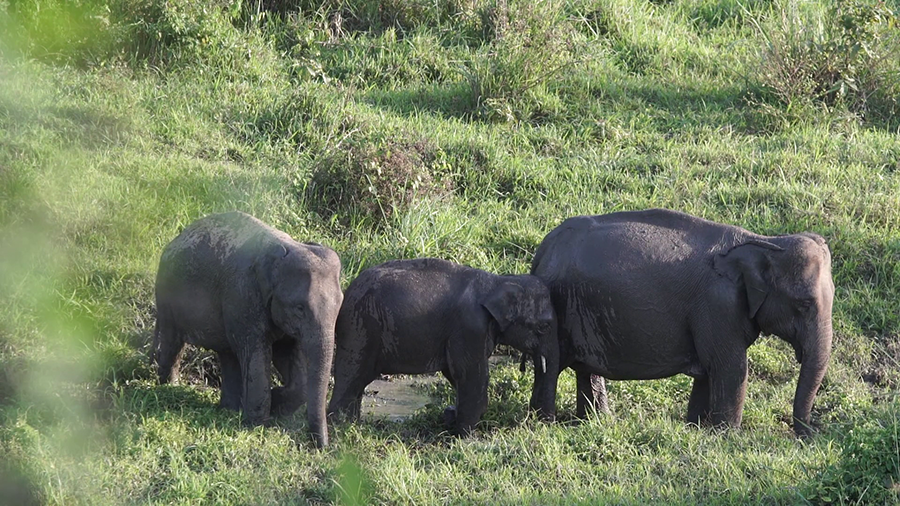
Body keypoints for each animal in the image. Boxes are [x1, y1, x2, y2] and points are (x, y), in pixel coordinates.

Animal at [151, 211, 342, 448]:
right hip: (167, 294)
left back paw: (228, 409)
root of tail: (174, 241)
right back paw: (169, 387)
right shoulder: (243, 296)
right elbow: (257, 352)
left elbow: (287, 355)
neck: (287, 247)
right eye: (300, 308)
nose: (320, 447)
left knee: (227, 353)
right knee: (173, 342)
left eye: (340, 305)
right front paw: (257, 424)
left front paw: (275, 404)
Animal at [326, 258, 560, 432]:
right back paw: (339, 427)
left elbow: (453, 372)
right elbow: (470, 374)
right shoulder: (470, 327)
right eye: (544, 326)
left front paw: (453, 417)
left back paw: (351, 424)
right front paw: (464, 433)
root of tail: (348, 290)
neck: (499, 281)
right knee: (353, 376)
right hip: (361, 328)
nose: (542, 421)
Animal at [532, 208, 832, 436]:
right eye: (804, 304)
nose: (811, 435)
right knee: (549, 367)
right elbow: (730, 369)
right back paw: (543, 423)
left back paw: (596, 422)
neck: (764, 241)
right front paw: (728, 438)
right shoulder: (718, 306)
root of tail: (542, 251)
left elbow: (708, 372)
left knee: (585, 369)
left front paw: (697, 430)